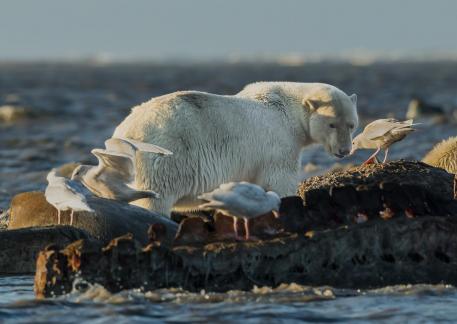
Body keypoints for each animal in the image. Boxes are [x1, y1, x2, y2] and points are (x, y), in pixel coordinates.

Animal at [112, 82, 358, 216]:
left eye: (352, 125)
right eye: (332, 124)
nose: (344, 150)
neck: (288, 109)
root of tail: (125, 130)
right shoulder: (279, 143)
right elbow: (279, 180)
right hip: (166, 155)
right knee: (155, 197)